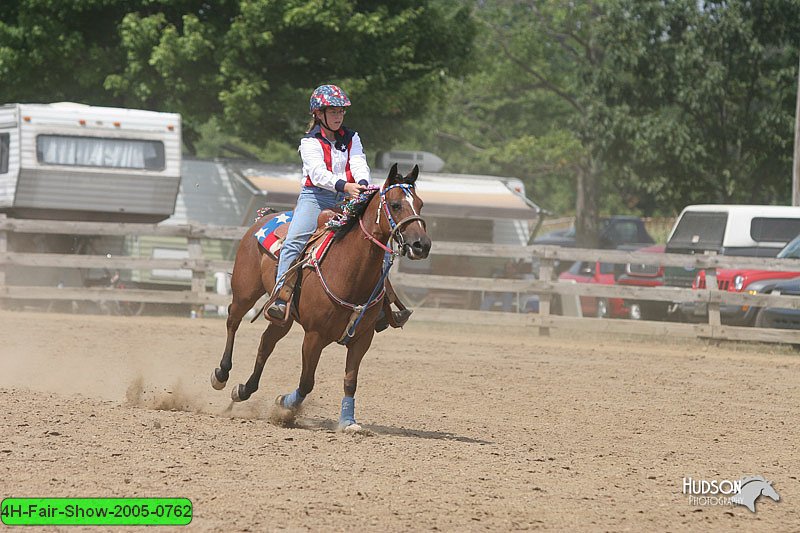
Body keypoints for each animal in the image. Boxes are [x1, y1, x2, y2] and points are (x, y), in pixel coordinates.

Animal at [209, 164, 428, 430]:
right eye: (396, 205)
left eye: (420, 204)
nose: (421, 245)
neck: (348, 270)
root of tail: (264, 217)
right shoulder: (314, 335)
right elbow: (306, 382)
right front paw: (284, 404)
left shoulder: (362, 338)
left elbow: (350, 382)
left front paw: (348, 422)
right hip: (245, 292)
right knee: (233, 321)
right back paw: (221, 374)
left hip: (283, 317)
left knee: (266, 343)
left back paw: (243, 390)